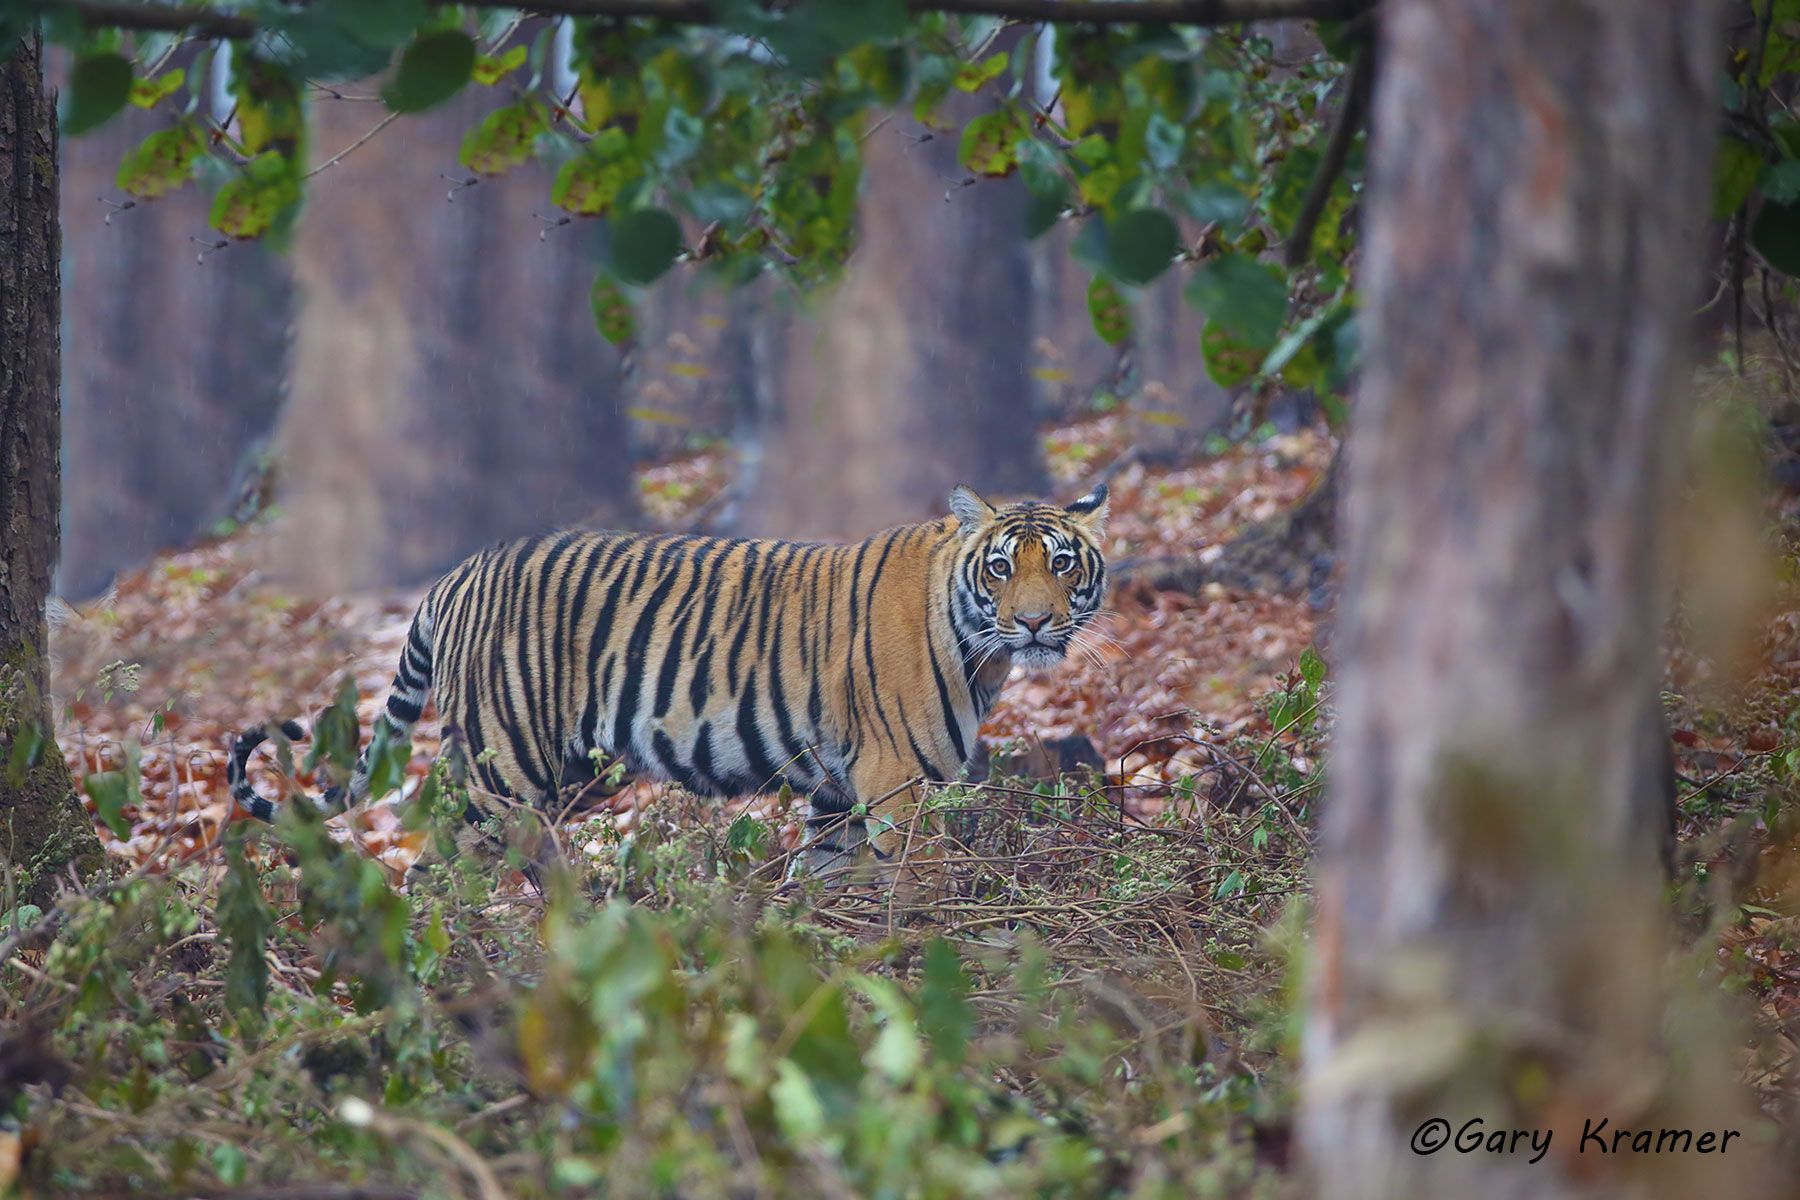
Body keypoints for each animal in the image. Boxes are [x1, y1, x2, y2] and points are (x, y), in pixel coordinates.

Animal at [227, 483, 1110, 882]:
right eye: (1001, 569)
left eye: (1063, 563)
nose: (1036, 623)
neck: (980, 649)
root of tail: (454, 575)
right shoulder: (897, 782)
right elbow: (917, 880)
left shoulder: (838, 791)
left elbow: (828, 878)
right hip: (503, 772)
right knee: (436, 867)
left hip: (573, 774)